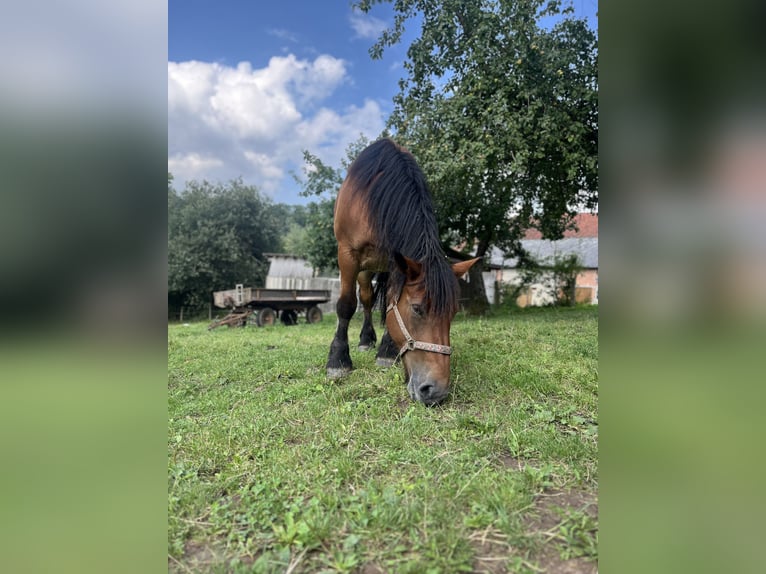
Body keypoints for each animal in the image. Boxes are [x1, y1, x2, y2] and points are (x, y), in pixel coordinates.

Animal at [326, 139, 480, 408]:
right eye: (417, 309)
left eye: (453, 313)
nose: (435, 391)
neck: (374, 196)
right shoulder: (347, 254)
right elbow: (346, 305)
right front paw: (338, 360)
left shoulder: (394, 261)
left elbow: (390, 301)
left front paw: (387, 352)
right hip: (364, 268)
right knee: (365, 298)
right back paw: (365, 340)